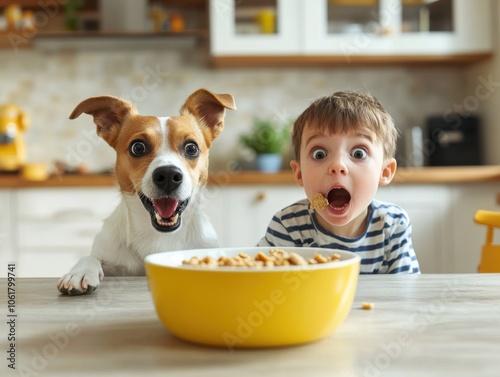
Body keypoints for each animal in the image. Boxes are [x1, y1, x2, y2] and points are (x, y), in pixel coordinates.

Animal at [56, 87, 236, 294]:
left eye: (191, 148)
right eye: (138, 147)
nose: (168, 175)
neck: (159, 236)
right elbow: (91, 257)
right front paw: (80, 272)